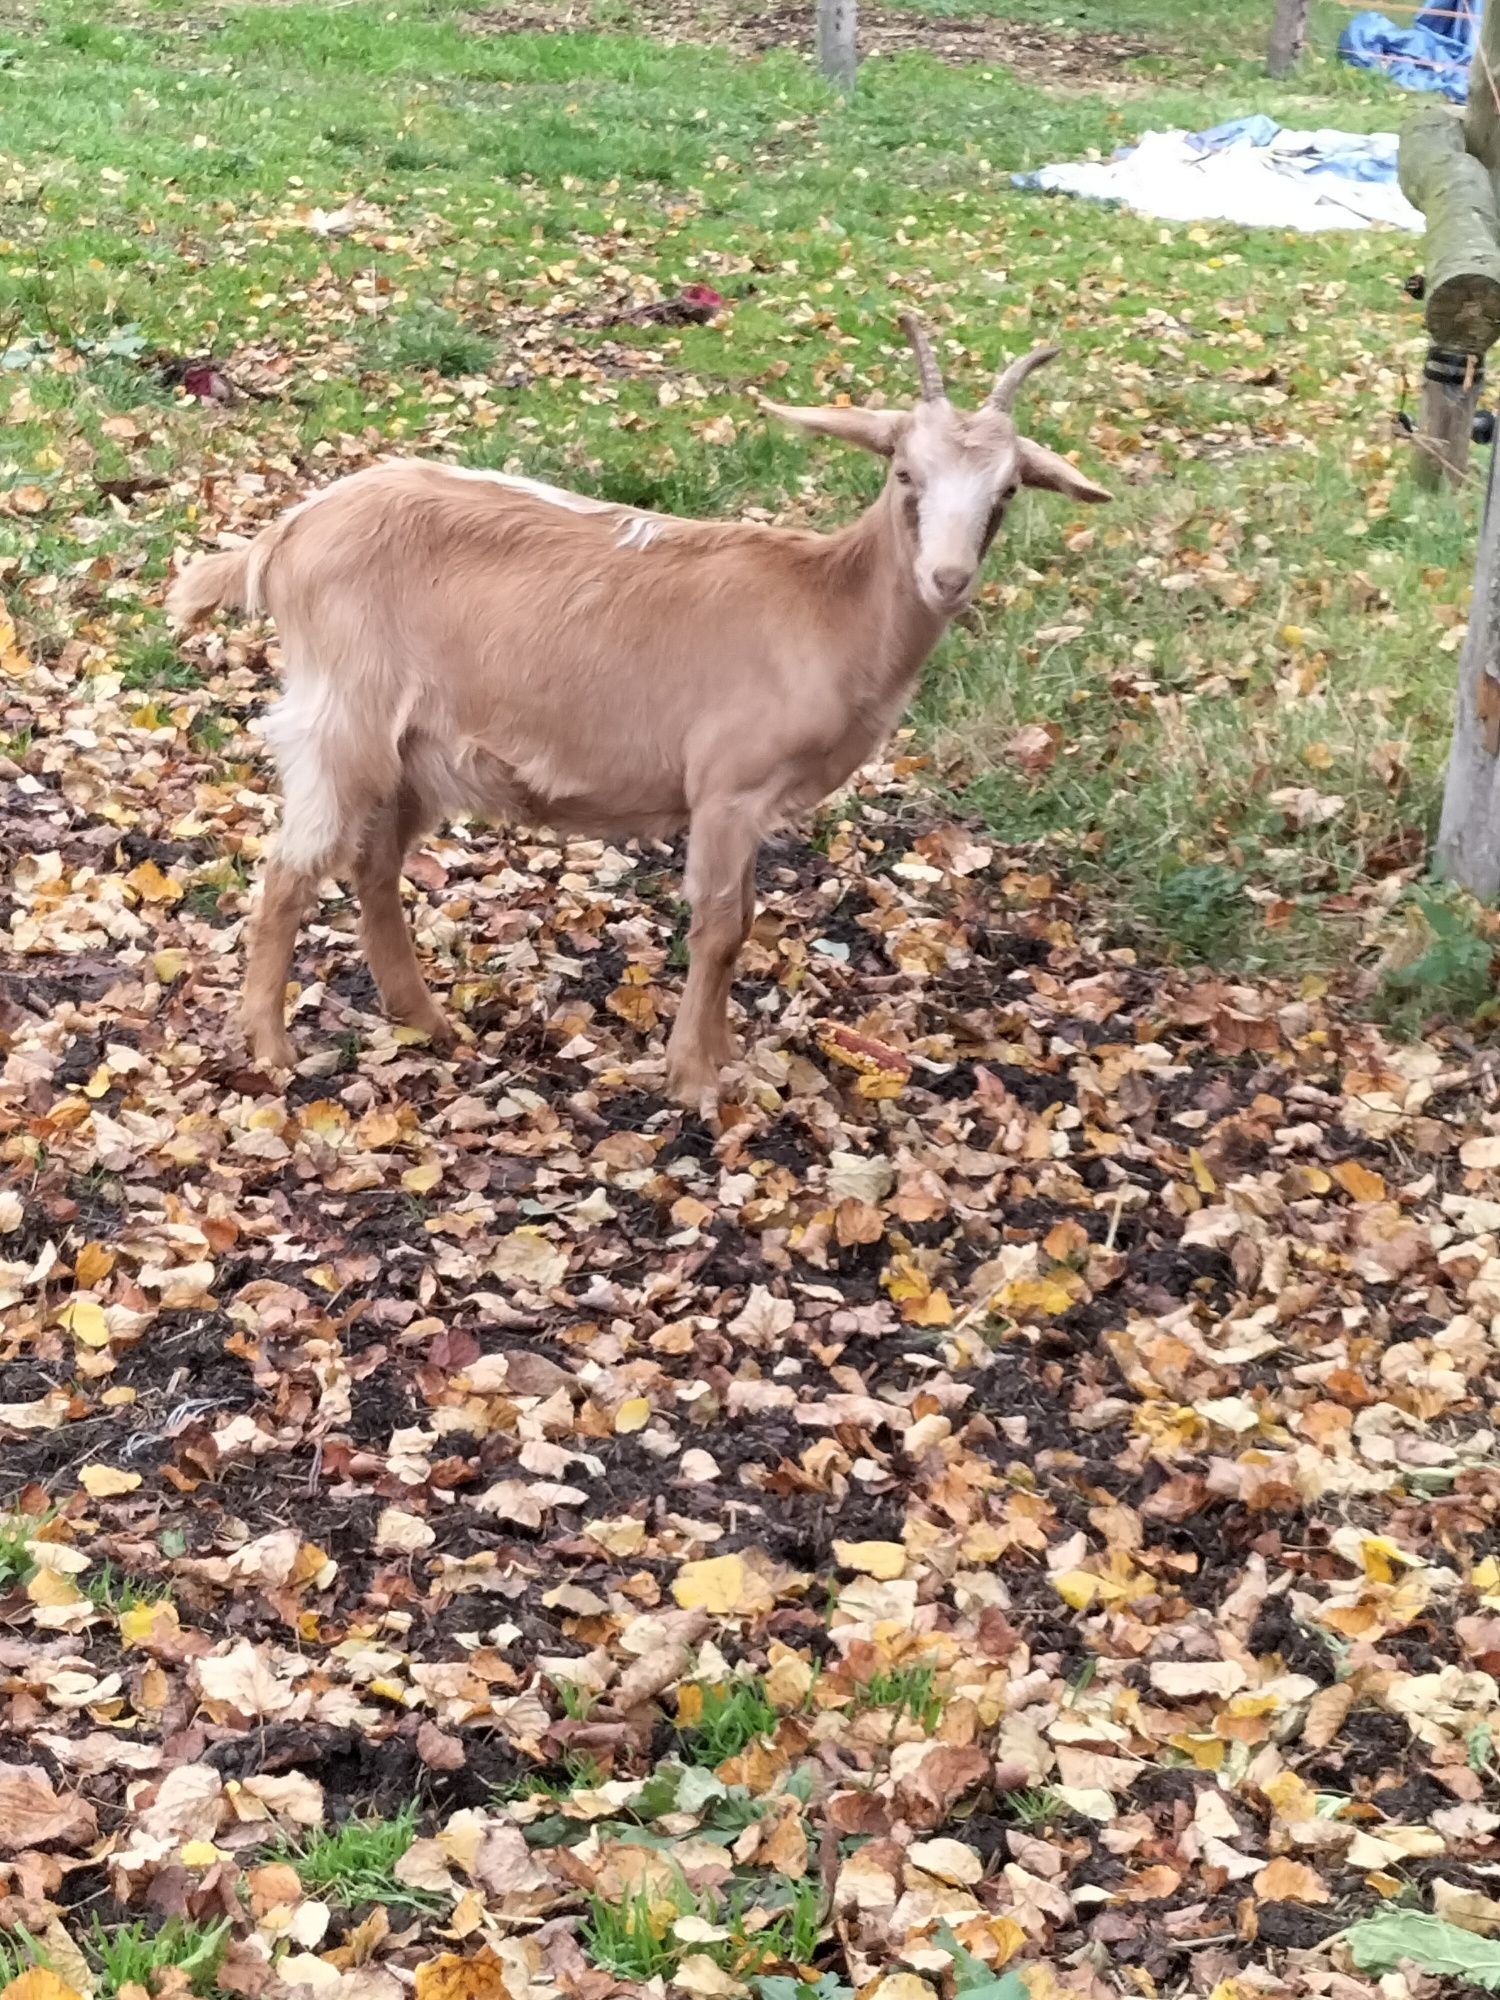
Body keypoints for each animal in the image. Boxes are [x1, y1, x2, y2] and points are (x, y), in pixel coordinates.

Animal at [170, 312, 1112, 1104]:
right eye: (905, 472)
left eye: (1007, 492)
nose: (947, 579)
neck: (828, 604)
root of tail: (284, 536)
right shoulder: (729, 788)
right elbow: (723, 928)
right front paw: (695, 1079)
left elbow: (744, 922)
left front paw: (720, 1058)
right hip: (343, 715)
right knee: (291, 870)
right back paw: (271, 1050)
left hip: (416, 749)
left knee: (372, 866)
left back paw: (427, 1022)